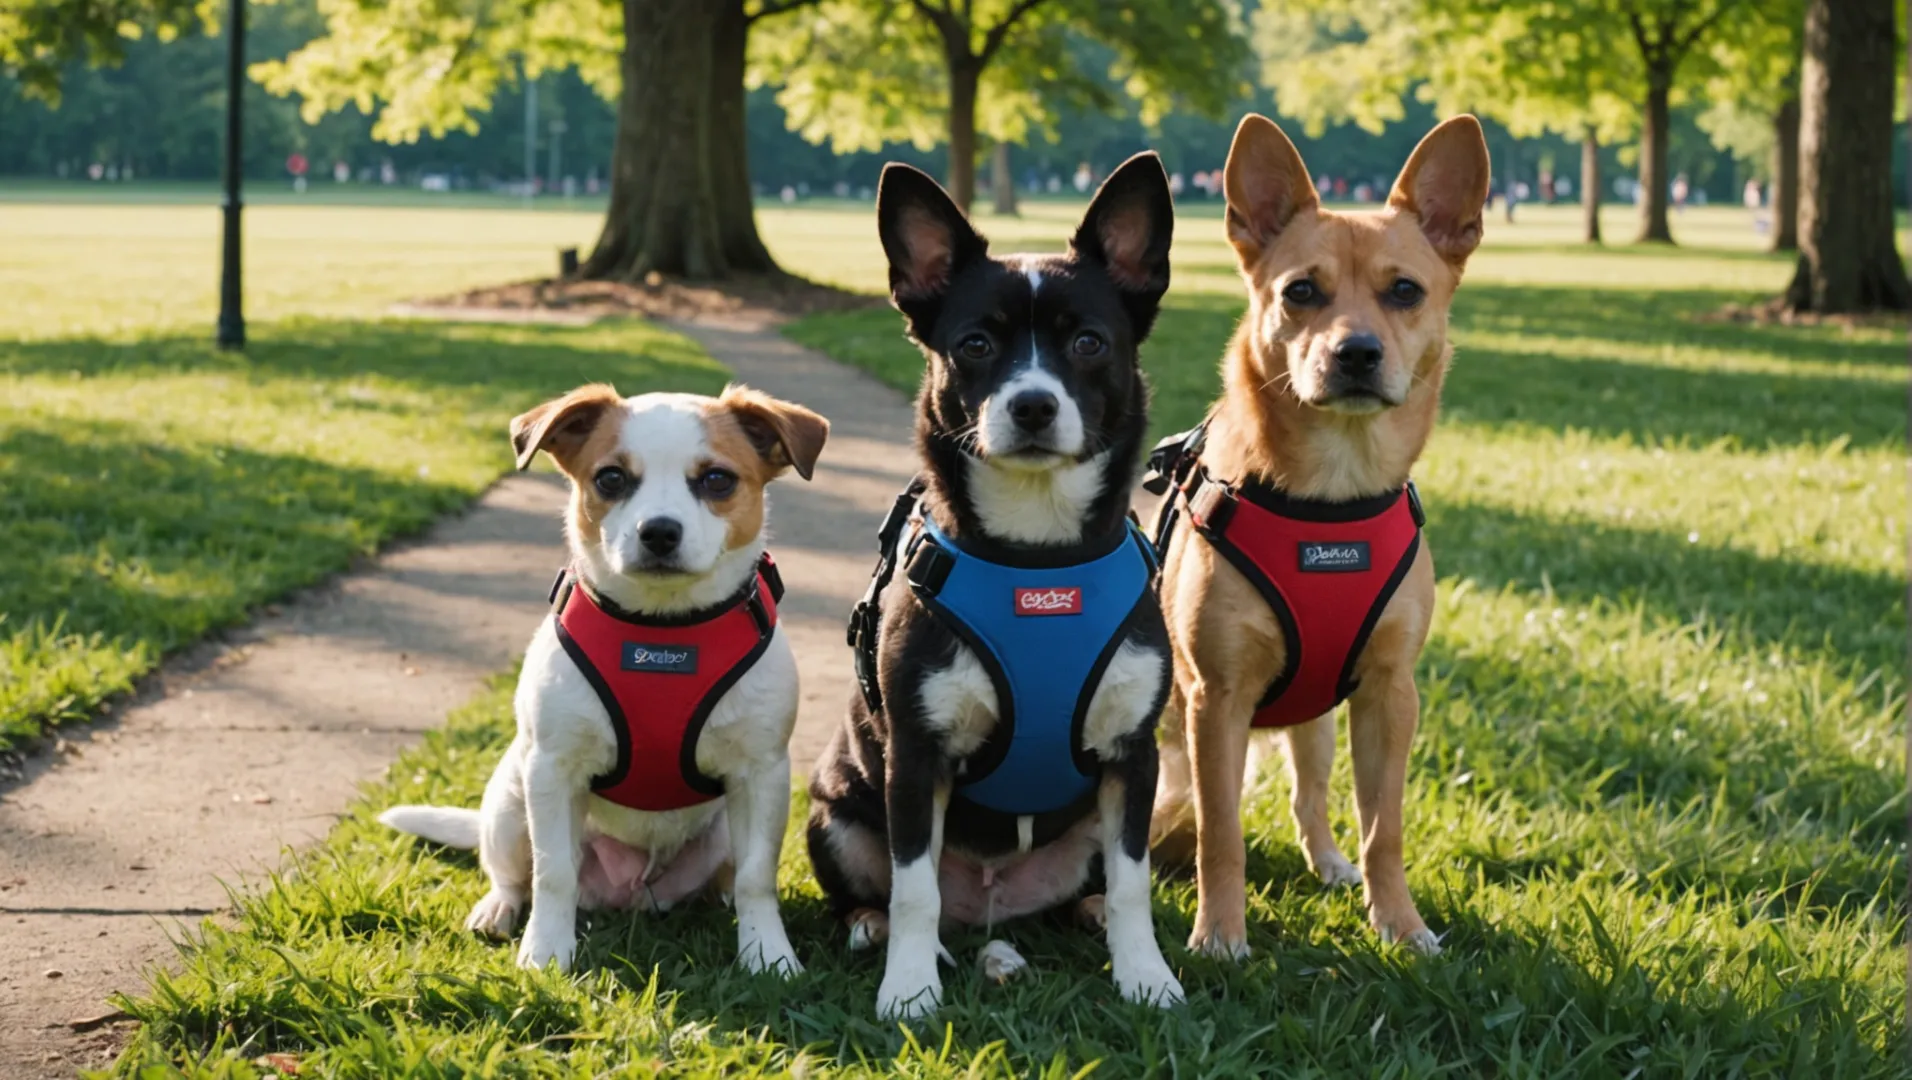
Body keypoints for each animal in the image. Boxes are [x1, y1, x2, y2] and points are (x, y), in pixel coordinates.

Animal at [386, 380, 829, 978]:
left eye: (717, 479)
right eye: (611, 478)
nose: (659, 531)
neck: (664, 629)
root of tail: (632, 891)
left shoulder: (762, 776)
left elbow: (758, 878)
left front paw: (767, 953)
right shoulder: (552, 771)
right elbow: (553, 873)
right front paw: (546, 950)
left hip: (720, 832)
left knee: (730, 880)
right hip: (510, 800)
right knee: (514, 873)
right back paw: (498, 908)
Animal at [803, 155, 1177, 1016]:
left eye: (1088, 342)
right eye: (974, 344)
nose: (1032, 404)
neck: (1036, 555)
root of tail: (991, 903)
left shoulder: (1134, 757)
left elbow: (1137, 882)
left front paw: (1145, 974)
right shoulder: (917, 760)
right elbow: (914, 889)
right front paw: (908, 988)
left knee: (1092, 887)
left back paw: (1079, 918)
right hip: (834, 811)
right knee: (892, 894)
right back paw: (880, 932)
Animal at [1139, 113, 1483, 955]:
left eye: (1405, 290)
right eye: (1301, 292)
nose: (1354, 352)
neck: (1333, 490)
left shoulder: (1391, 694)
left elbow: (1383, 827)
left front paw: (1400, 923)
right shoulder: (1216, 699)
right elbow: (1222, 833)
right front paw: (1220, 933)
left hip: (1319, 721)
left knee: (1310, 795)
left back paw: (1328, 862)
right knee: (1185, 816)